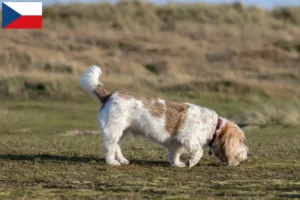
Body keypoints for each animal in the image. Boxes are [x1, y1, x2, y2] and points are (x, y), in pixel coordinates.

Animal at [78, 66, 250, 168]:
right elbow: (198, 151)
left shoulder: (177, 142)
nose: (249, 153)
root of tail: (110, 94)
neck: (214, 127)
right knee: (109, 147)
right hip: (113, 131)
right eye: (241, 141)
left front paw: (177, 164)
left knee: (117, 147)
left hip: (122, 132)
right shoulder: (188, 138)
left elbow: (175, 154)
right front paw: (191, 162)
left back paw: (122, 160)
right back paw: (112, 162)